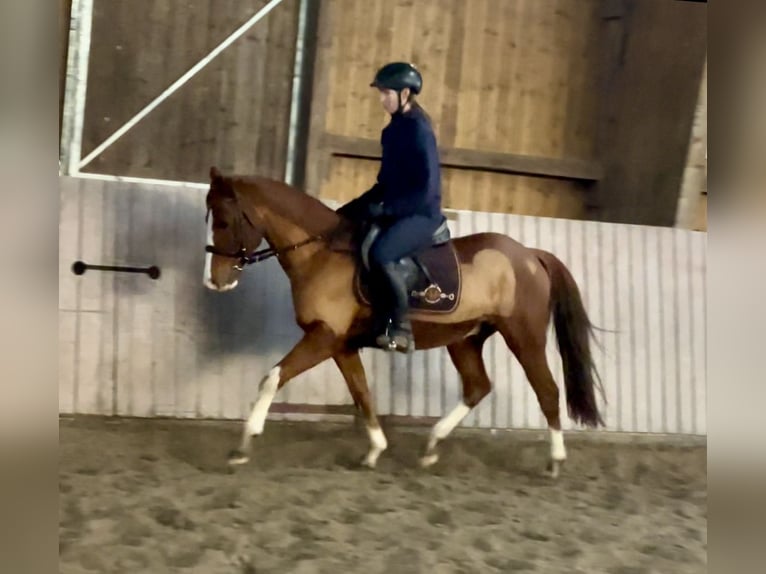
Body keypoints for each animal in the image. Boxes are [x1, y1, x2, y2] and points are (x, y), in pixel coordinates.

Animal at [202, 168, 608, 482]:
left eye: (223, 220)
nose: (214, 282)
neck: (321, 254)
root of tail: (530, 255)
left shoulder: (323, 337)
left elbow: (272, 377)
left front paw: (243, 445)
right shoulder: (341, 345)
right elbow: (362, 393)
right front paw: (374, 451)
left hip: (523, 336)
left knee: (547, 391)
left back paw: (554, 462)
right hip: (465, 339)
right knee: (477, 386)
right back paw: (431, 447)